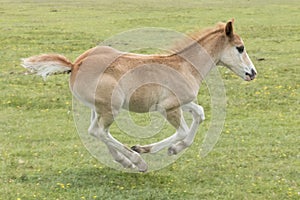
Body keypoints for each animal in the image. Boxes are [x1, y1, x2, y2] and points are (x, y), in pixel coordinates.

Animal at [21, 19, 255, 172]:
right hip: (112, 107)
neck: (185, 66)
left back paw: (124, 161)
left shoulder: (183, 102)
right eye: (240, 48)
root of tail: (75, 64)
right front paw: (149, 149)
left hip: (98, 108)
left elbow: (200, 114)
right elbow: (182, 130)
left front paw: (173, 149)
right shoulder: (167, 108)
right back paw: (136, 161)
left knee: (94, 131)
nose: (252, 73)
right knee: (100, 131)